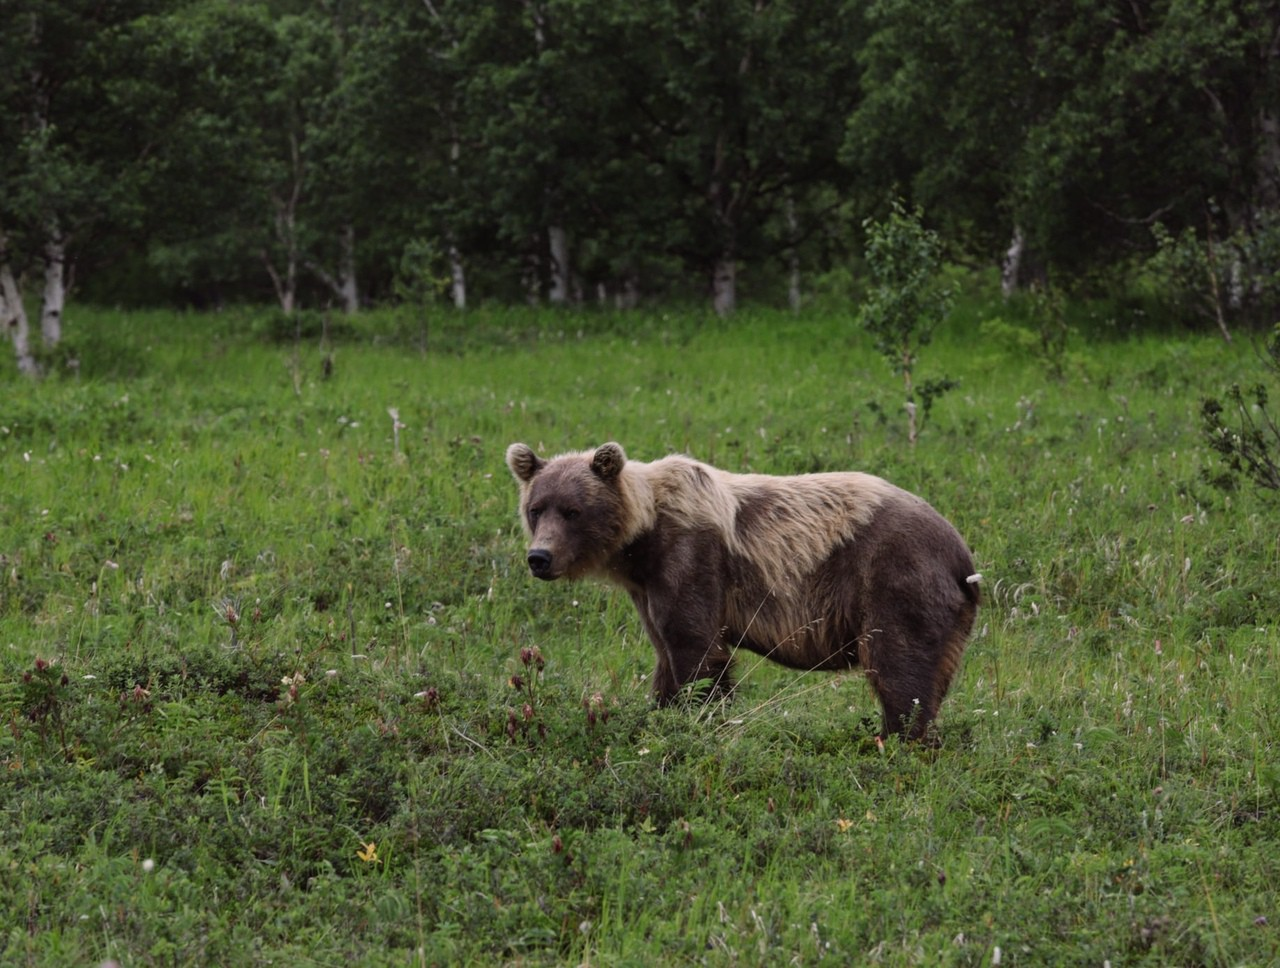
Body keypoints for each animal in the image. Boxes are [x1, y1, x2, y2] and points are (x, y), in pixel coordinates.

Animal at [501, 443, 977, 737]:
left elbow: (697, 647)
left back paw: (897, 738)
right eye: (536, 508)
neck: (641, 542)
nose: (539, 557)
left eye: (573, 511)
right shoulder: (647, 587)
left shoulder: (691, 557)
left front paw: (701, 714)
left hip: (897, 579)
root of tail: (962, 554)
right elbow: (665, 654)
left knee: (899, 668)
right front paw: (662, 709)